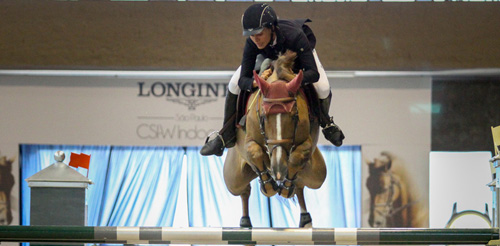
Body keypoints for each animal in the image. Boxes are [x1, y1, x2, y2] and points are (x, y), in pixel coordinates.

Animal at [224, 51, 328, 228]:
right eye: (263, 116)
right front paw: (269, 186)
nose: (279, 167)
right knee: (243, 190)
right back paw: (245, 222)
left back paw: (303, 216)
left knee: (300, 183)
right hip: (233, 178)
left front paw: (284, 186)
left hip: (317, 175)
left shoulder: (307, 142)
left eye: (294, 116)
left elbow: (296, 157)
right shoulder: (248, 141)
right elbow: (255, 152)